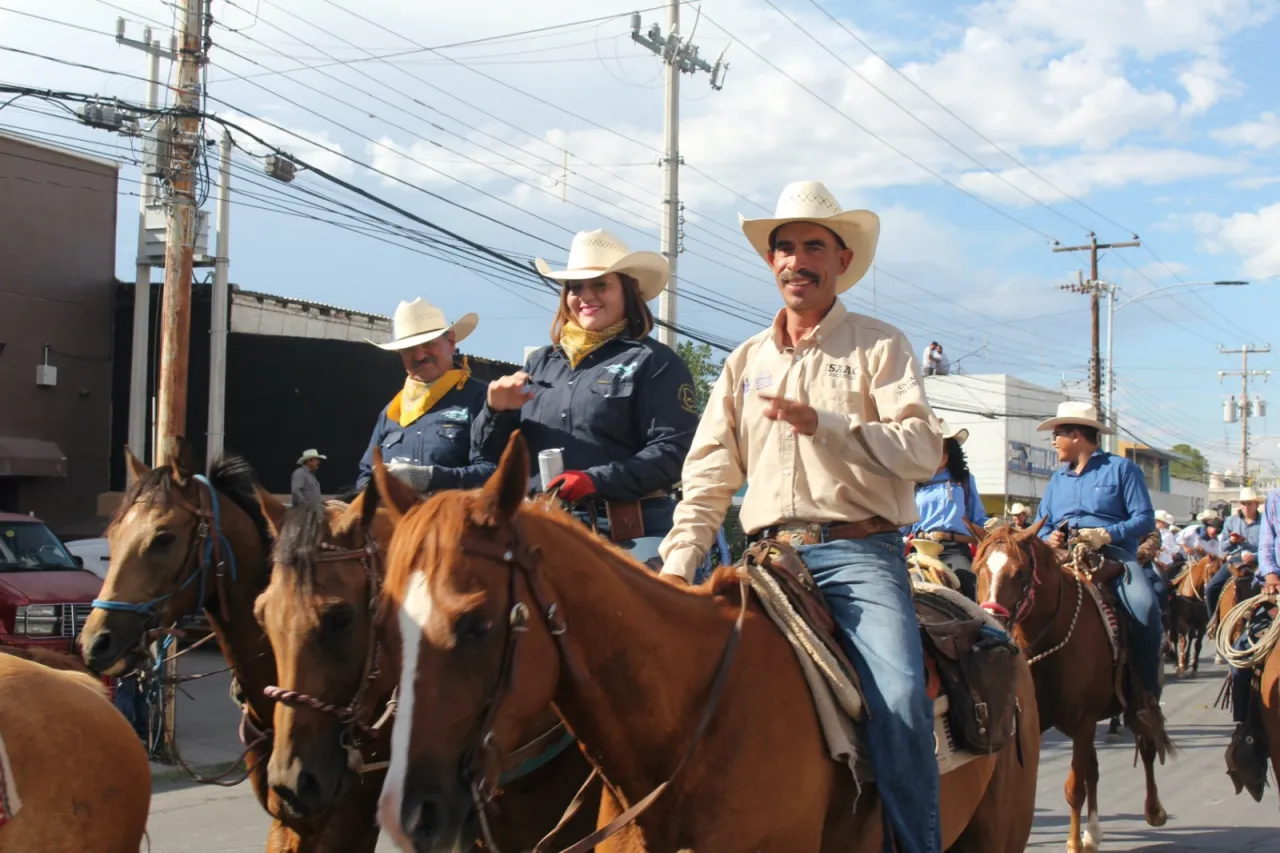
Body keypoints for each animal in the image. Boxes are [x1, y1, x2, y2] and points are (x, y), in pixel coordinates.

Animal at [967, 517, 1172, 850]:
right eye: (977, 570)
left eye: (1020, 573)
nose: (989, 622)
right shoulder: (1041, 724)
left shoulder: (1083, 722)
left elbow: (1074, 788)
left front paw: (1073, 843)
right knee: (1094, 770)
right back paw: (1093, 831)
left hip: (1134, 704)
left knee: (1147, 743)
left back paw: (1153, 810)